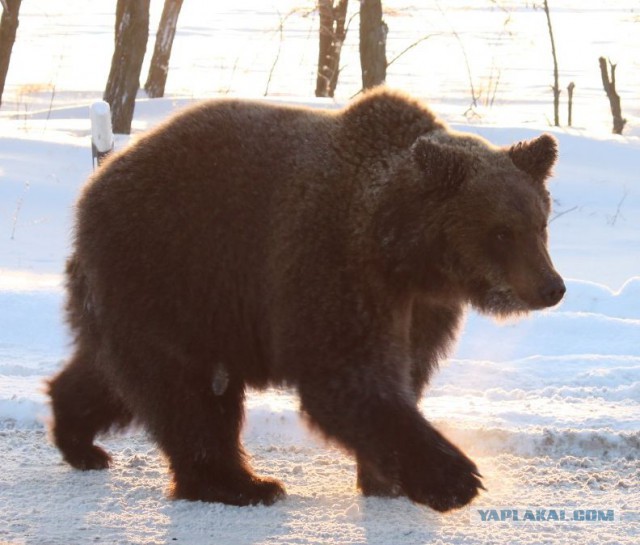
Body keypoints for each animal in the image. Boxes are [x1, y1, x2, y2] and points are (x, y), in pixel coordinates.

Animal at [48, 88, 565, 512]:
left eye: (540, 224)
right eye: (501, 231)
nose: (552, 287)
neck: (402, 253)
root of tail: (95, 183)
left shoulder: (422, 306)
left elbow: (405, 370)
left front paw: (385, 478)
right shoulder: (331, 262)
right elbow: (346, 375)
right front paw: (454, 477)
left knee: (115, 375)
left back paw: (79, 439)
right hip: (173, 267)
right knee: (185, 388)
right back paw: (241, 484)